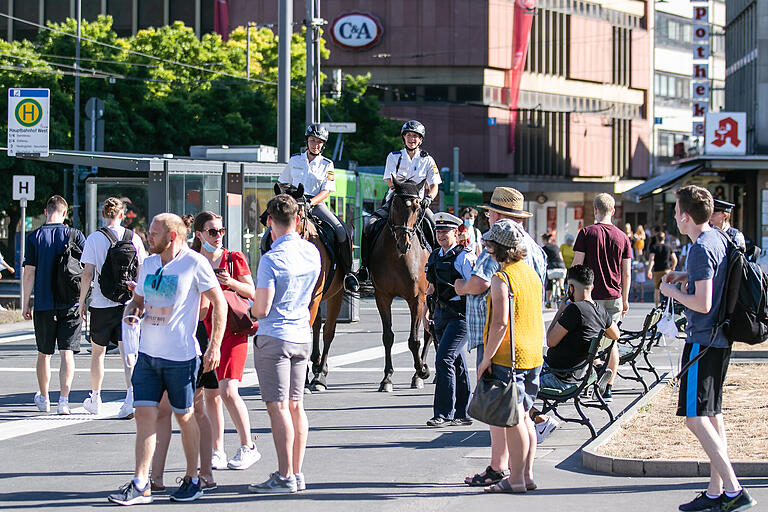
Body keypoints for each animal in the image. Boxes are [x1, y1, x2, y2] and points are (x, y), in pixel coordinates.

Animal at [270, 184, 342, 392]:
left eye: (300, 213)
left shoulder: (314, 296)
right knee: (317, 326)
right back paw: (315, 365)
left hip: (336, 295)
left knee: (328, 331)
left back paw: (320, 376)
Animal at [368, 177, 436, 392]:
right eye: (395, 205)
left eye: (416, 207)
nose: (403, 242)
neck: (397, 257)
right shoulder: (382, 296)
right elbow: (388, 337)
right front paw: (387, 379)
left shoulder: (417, 299)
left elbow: (414, 340)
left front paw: (422, 371)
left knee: (428, 332)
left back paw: (421, 371)